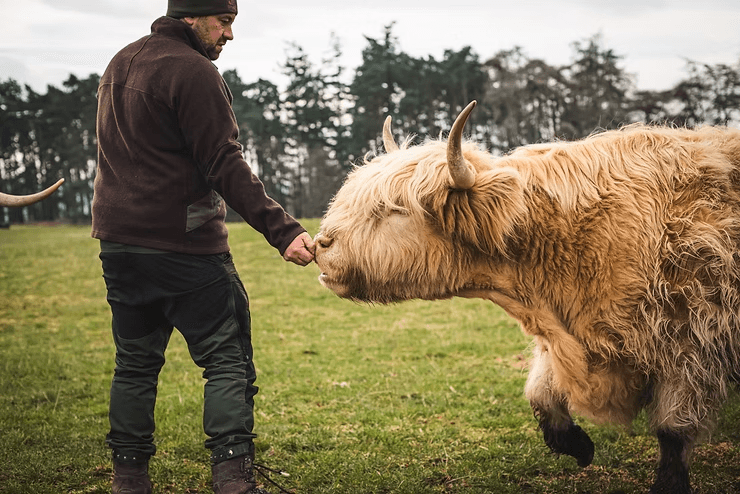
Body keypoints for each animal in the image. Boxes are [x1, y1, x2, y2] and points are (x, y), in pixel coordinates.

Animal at [314, 101, 740, 494]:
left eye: (393, 210)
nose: (321, 243)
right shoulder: (561, 340)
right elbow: (540, 396)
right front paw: (578, 446)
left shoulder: (691, 343)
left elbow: (673, 431)